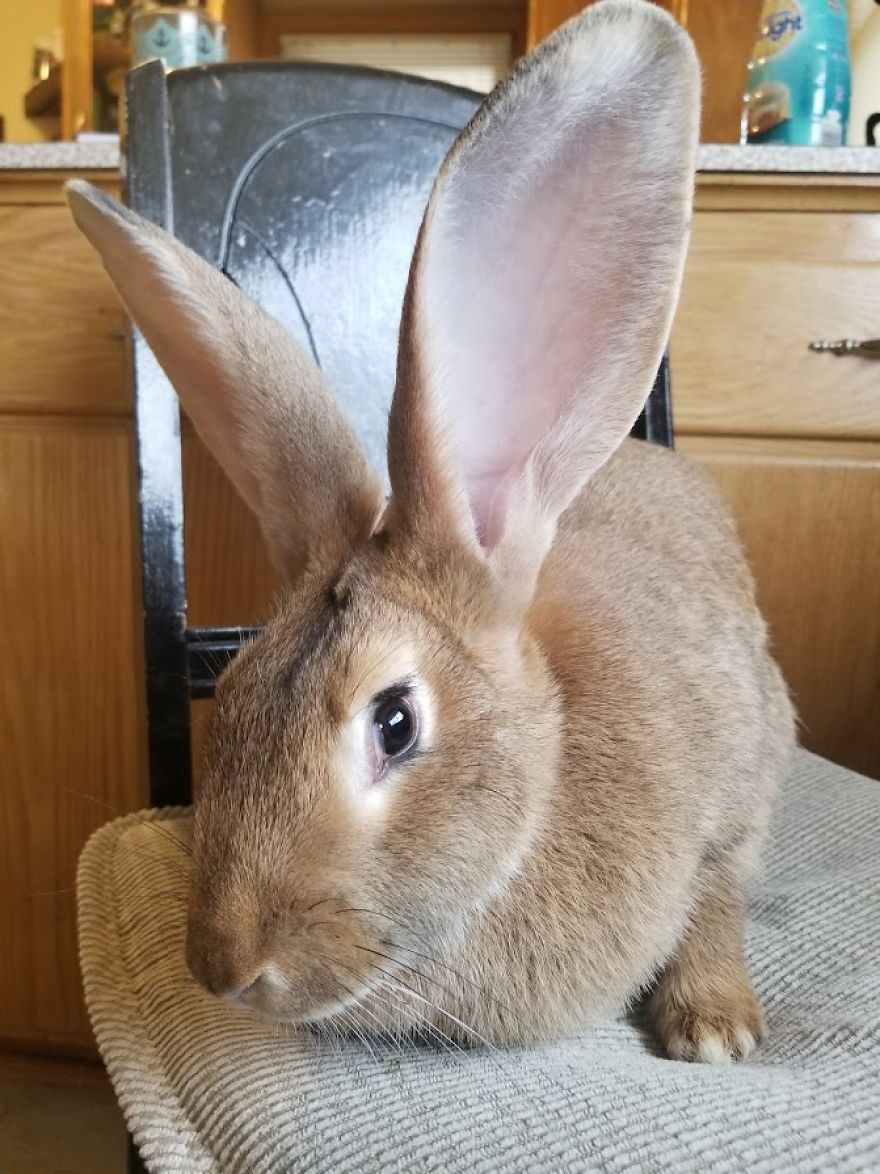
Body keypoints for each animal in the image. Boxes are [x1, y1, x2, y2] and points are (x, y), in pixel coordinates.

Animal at [67, 0, 795, 1064]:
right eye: (230, 693)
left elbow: (715, 896)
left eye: (395, 723)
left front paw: (714, 1027)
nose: (224, 967)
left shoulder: (725, 808)